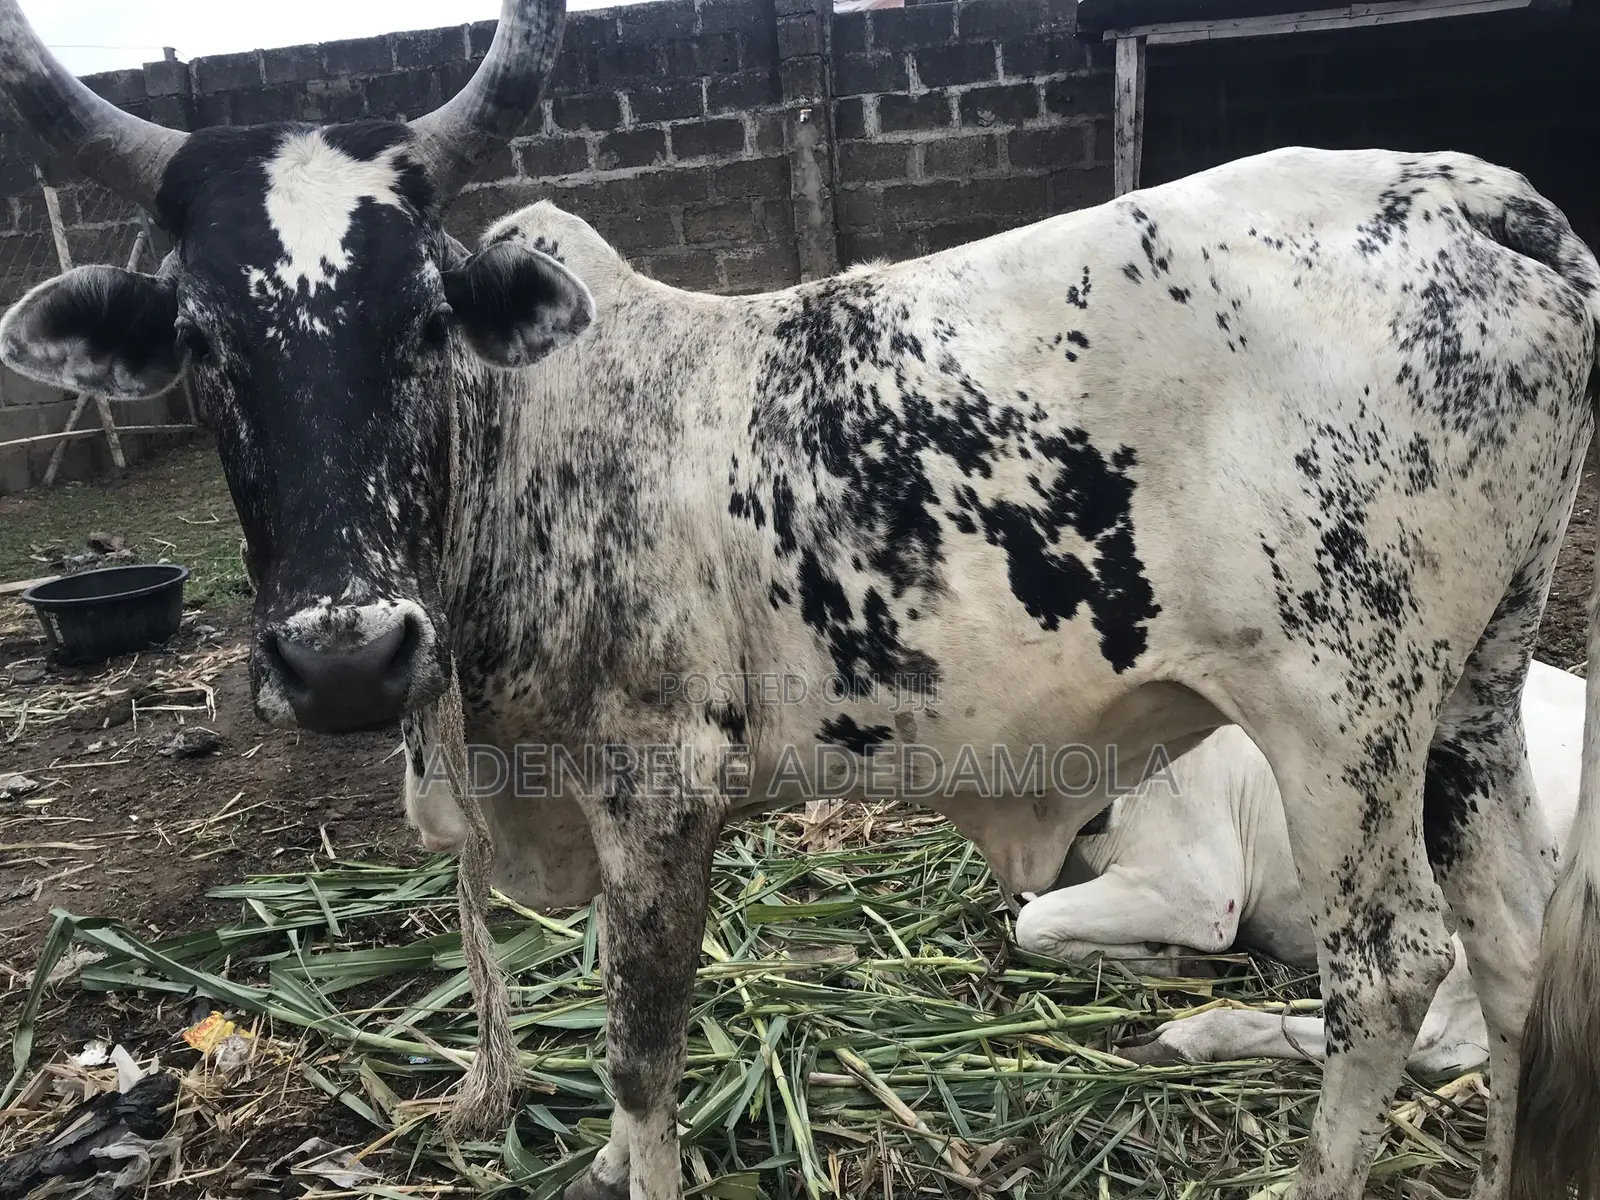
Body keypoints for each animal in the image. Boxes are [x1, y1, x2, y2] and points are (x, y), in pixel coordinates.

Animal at [1014, 657, 1585, 1077]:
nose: (1095, 815)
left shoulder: (1197, 891)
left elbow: (1030, 925)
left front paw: (1172, 961)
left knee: (1417, 1024)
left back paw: (1187, 1036)